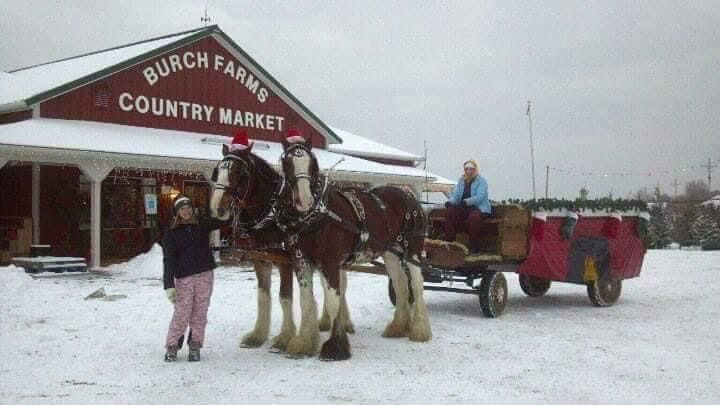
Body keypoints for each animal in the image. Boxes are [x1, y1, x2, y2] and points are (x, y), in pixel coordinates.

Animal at [278, 138, 430, 360]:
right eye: (287, 163)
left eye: (312, 164)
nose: (304, 200)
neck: (317, 216)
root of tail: (409, 196)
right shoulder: (301, 261)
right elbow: (306, 300)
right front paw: (303, 343)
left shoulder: (330, 263)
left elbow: (333, 301)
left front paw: (335, 346)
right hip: (390, 252)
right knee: (401, 284)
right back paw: (398, 327)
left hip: (413, 251)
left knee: (417, 285)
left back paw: (420, 330)